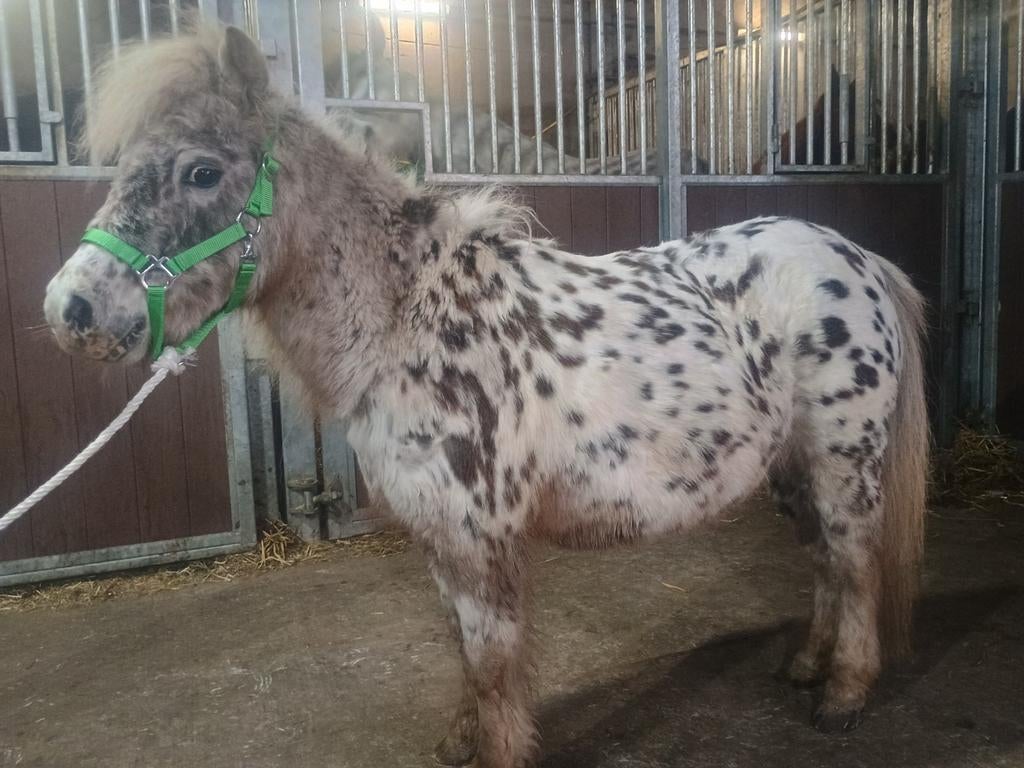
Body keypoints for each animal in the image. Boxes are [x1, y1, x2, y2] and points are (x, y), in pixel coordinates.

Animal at [42, 25, 928, 768]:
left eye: (199, 169)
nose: (70, 310)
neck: (412, 321)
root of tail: (855, 259)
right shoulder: (440, 536)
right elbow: (465, 653)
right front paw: (459, 741)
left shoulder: (481, 535)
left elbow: (495, 657)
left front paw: (494, 747)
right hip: (792, 467)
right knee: (824, 560)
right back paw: (805, 667)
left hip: (846, 462)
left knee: (854, 560)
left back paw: (843, 696)